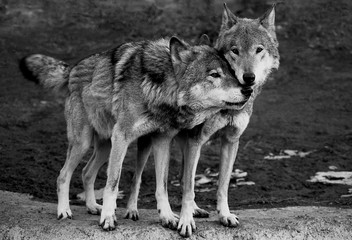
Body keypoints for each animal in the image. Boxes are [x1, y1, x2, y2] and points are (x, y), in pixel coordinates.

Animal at [20, 37, 252, 231]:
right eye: (214, 74)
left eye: (231, 71)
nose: (248, 90)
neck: (158, 87)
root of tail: (72, 68)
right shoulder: (122, 137)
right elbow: (113, 182)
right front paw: (108, 218)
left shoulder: (162, 140)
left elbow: (162, 185)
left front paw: (167, 216)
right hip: (84, 143)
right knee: (63, 175)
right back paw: (64, 211)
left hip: (105, 147)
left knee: (86, 172)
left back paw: (92, 206)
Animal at [124, 2, 280, 237]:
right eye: (235, 51)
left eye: (259, 50)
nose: (248, 78)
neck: (227, 107)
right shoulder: (196, 140)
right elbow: (189, 188)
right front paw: (185, 222)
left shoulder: (230, 141)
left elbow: (222, 185)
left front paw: (225, 215)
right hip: (149, 144)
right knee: (138, 177)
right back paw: (132, 211)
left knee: (181, 176)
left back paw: (196, 209)